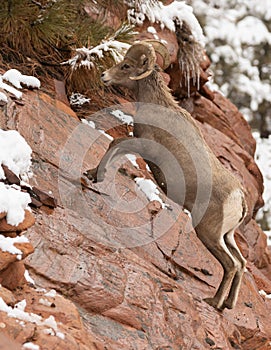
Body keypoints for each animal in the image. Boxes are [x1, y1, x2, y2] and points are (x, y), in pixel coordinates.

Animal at [90, 41, 249, 308]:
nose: (103, 76)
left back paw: (213, 302)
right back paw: (227, 304)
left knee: (231, 264)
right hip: (227, 236)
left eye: (127, 65)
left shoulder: (143, 146)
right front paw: (91, 173)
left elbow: (115, 143)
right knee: (242, 263)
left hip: (209, 233)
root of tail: (240, 198)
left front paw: (95, 176)